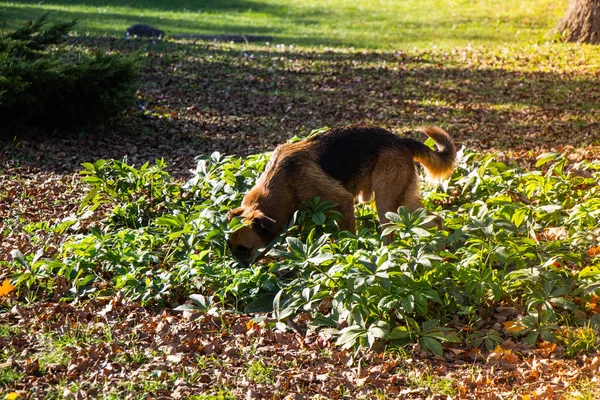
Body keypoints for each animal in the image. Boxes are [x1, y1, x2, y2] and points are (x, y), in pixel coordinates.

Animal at [227, 123, 458, 264]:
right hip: (402, 205)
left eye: (244, 249)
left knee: (390, 234)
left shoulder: (343, 203)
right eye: (231, 248)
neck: (281, 182)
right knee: (435, 219)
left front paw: (345, 256)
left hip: (386, 206)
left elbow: (346, 237)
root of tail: (401, 140)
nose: (241, 270)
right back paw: (440, 250)